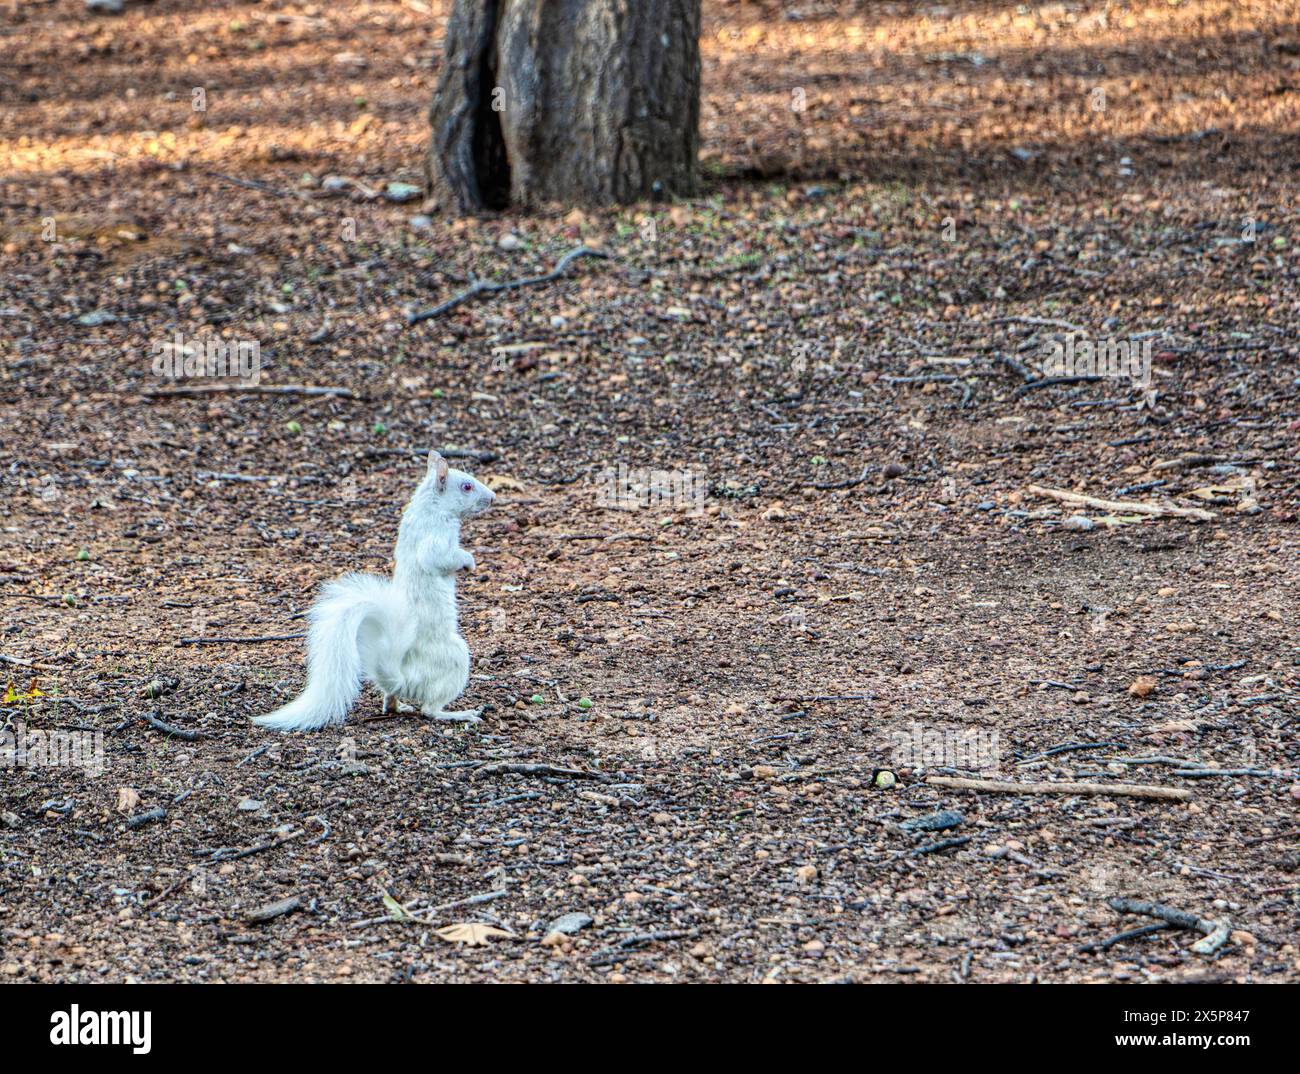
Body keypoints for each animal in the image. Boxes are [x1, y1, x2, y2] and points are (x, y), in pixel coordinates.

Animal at [253, 450, 495, 732]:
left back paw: (398, 706)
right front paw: (469, 561)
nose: (492, 497)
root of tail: (403, 678)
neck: (430, 506)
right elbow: (440, 558)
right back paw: (459, 714)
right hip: (454, 658)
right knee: (430, 710)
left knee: (392, 700)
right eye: (467, 486)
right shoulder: (435, 536)